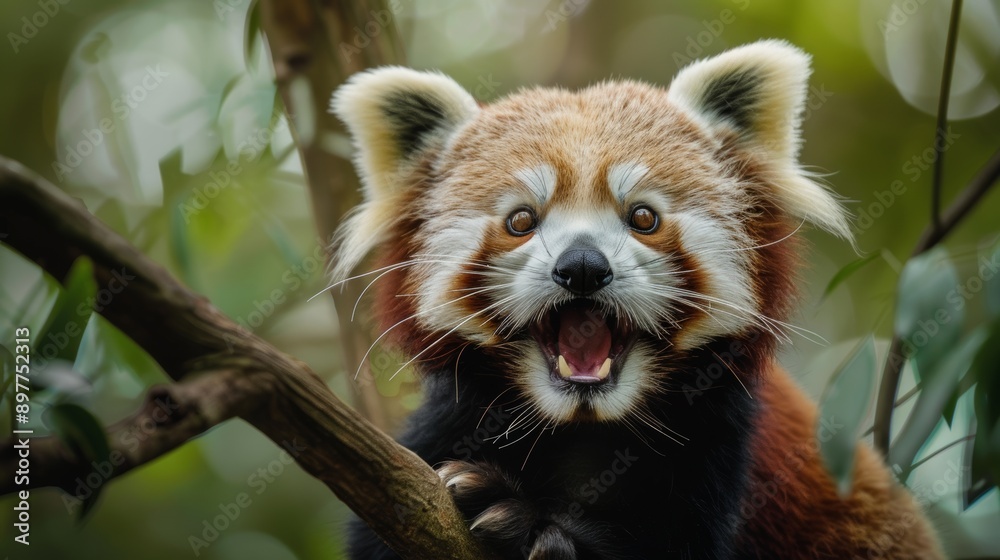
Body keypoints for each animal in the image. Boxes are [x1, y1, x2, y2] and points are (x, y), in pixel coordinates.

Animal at [329, 40, 943, 559]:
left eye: (643, 217)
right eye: (521, 221)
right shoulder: (451, 423)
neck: (584, 429)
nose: (581, 267)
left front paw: (521, 519)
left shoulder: (729, 450)